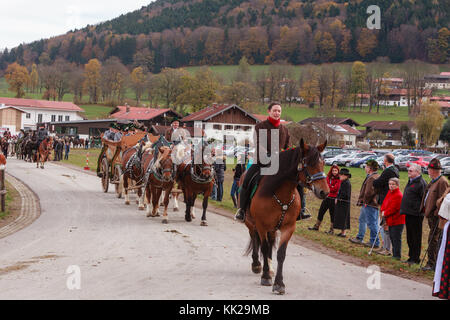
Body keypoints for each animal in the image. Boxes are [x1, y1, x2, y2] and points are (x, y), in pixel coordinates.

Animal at [243, 139, 326, 294]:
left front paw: (279, 283)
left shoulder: (288, 228)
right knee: (255, 238)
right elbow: (263, 247)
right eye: (309, 163)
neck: (280, 193)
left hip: (272, 228)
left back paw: (269, 268)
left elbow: (281, 254)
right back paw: (257, 264)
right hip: (251, 223)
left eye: (323, 162)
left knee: (269, 244)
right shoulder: (261, 226)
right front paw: (265, 277)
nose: (324, 191)